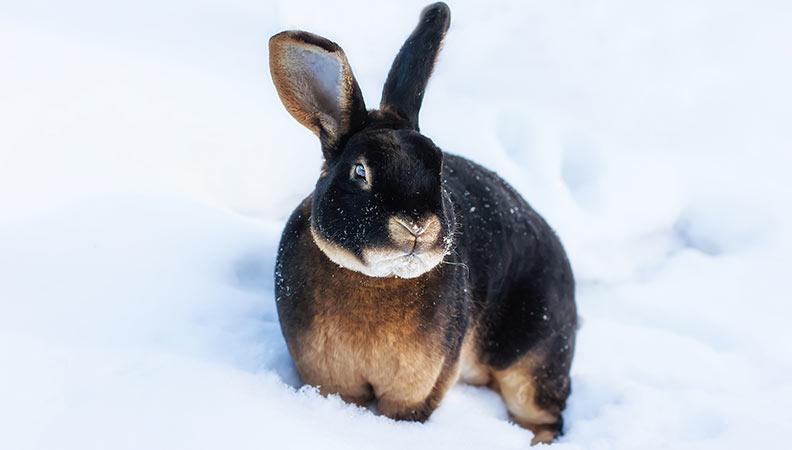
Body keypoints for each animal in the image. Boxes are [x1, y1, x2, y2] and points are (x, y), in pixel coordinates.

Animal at [270, 2, 576, 444]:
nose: (416, 225)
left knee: (545, 413)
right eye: (359, 172)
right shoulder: (326, 376)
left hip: (531, 358)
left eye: (439, 167)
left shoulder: (420, 385)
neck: (379, 277)